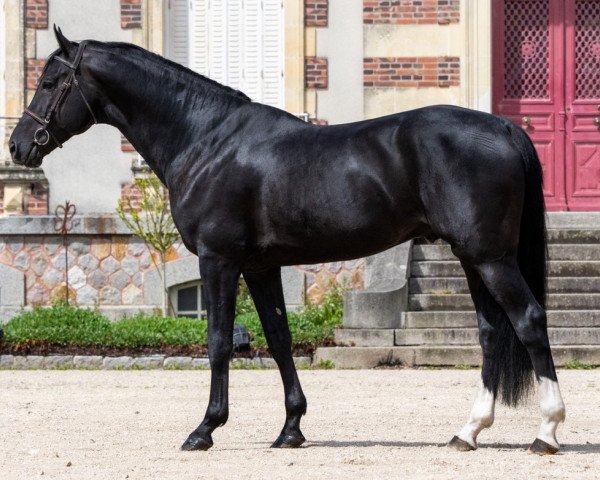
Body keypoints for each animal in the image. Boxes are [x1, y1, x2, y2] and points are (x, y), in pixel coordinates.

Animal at [8, 28, 568, 456]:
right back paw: (467, 432)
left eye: (52, 80)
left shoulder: (218, 261)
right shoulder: (260, 267)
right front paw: (291, 429)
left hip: (491, 258)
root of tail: (504, 128)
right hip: (473, 259)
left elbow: (217, 342)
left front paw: (204, 430)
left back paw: (546, 432)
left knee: (528, 320)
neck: (206, 139)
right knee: (492, 334)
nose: (18, 147)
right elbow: (278, 340)